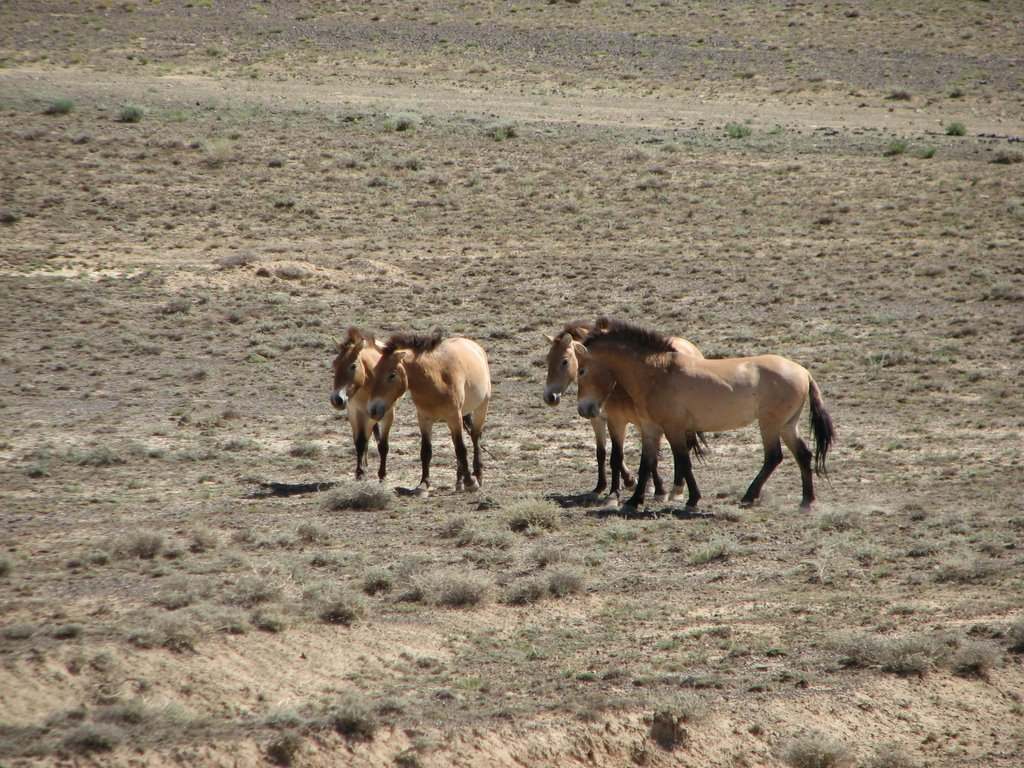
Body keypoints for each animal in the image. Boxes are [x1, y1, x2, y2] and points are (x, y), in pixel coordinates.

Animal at [327, 329, 395, 483]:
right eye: (334, 364)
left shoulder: (388, 415)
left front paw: (382, 475)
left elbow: (383, 445)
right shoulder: (355, 413)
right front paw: (360, 472)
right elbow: (359, 442)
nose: (336, 400)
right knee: (364, 439)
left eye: (353, 366)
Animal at [368, 329, 491, 495]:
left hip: (480, 409)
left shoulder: (454, 417)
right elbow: (426, 451)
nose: (373, 410)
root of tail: (475, 347)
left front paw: (471, 482)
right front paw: (423, 484)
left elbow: (461, 449)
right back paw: (459, 482)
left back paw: (477, 475)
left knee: (475, 438)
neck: (436, 379)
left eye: (392, 375)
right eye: (374, 372)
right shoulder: (424, 419)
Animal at [544, 321, 704, 501]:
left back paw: (677, 488)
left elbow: (647, 457)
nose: (549, 397)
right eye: (548, 359)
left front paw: (655, 489)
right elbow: (605, 453)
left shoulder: (639, 422)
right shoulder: (603, 420)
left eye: (564, 361)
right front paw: (606, 486)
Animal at [573, 321, 835, 514]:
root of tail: (803, 372)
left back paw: (749, 496)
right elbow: (646, 463)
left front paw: (692, 500)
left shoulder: (674, 428)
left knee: (773, 457)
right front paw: (634, 501)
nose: (584, 409)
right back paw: (806, 501)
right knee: (803, 455)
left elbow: (683, 461)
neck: (657, 373)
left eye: (581, 370)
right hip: (787, 425)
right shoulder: (651, 429)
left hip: (770, 425)